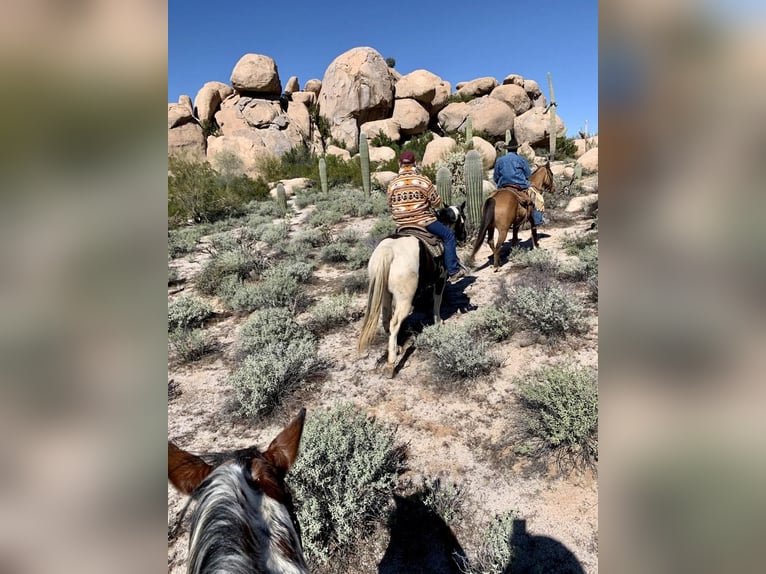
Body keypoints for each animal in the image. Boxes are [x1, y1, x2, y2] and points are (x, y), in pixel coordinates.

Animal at [358, 205, 468, 380]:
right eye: (463, 218)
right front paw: (438, 322)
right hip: (404, 299)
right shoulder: (441, 279)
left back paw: (396, 348)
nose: (464, 237)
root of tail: (388, 251)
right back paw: (391, 364)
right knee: (395, 322)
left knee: (387, 319)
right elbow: (437, 301)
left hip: (385, 293)